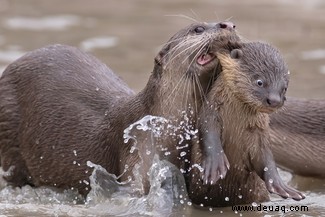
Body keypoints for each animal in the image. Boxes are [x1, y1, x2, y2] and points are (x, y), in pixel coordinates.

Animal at [187, 41, 304, 207]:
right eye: (260, 82)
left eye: (284, 88)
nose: (274, 100)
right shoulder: (211, 112)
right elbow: (208, 133)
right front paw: (216, 164)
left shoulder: (259, 132)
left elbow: (265, 157)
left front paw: (280, 185)